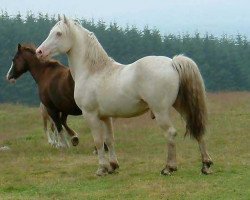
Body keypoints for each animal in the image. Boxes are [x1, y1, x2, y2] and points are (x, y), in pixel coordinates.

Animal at [36, 15, 212, 175]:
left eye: (58, 33)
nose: (39, 52)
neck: (93, 71)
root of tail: (172, 63)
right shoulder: (106, 117)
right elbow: (109, 140)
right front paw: (113, 166)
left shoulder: (90, 115)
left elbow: (98, 141)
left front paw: (102, 168)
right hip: (182, 106)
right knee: (197, 129)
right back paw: (206, 165)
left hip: (160, 111)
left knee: (170, 133)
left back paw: (169, 167)